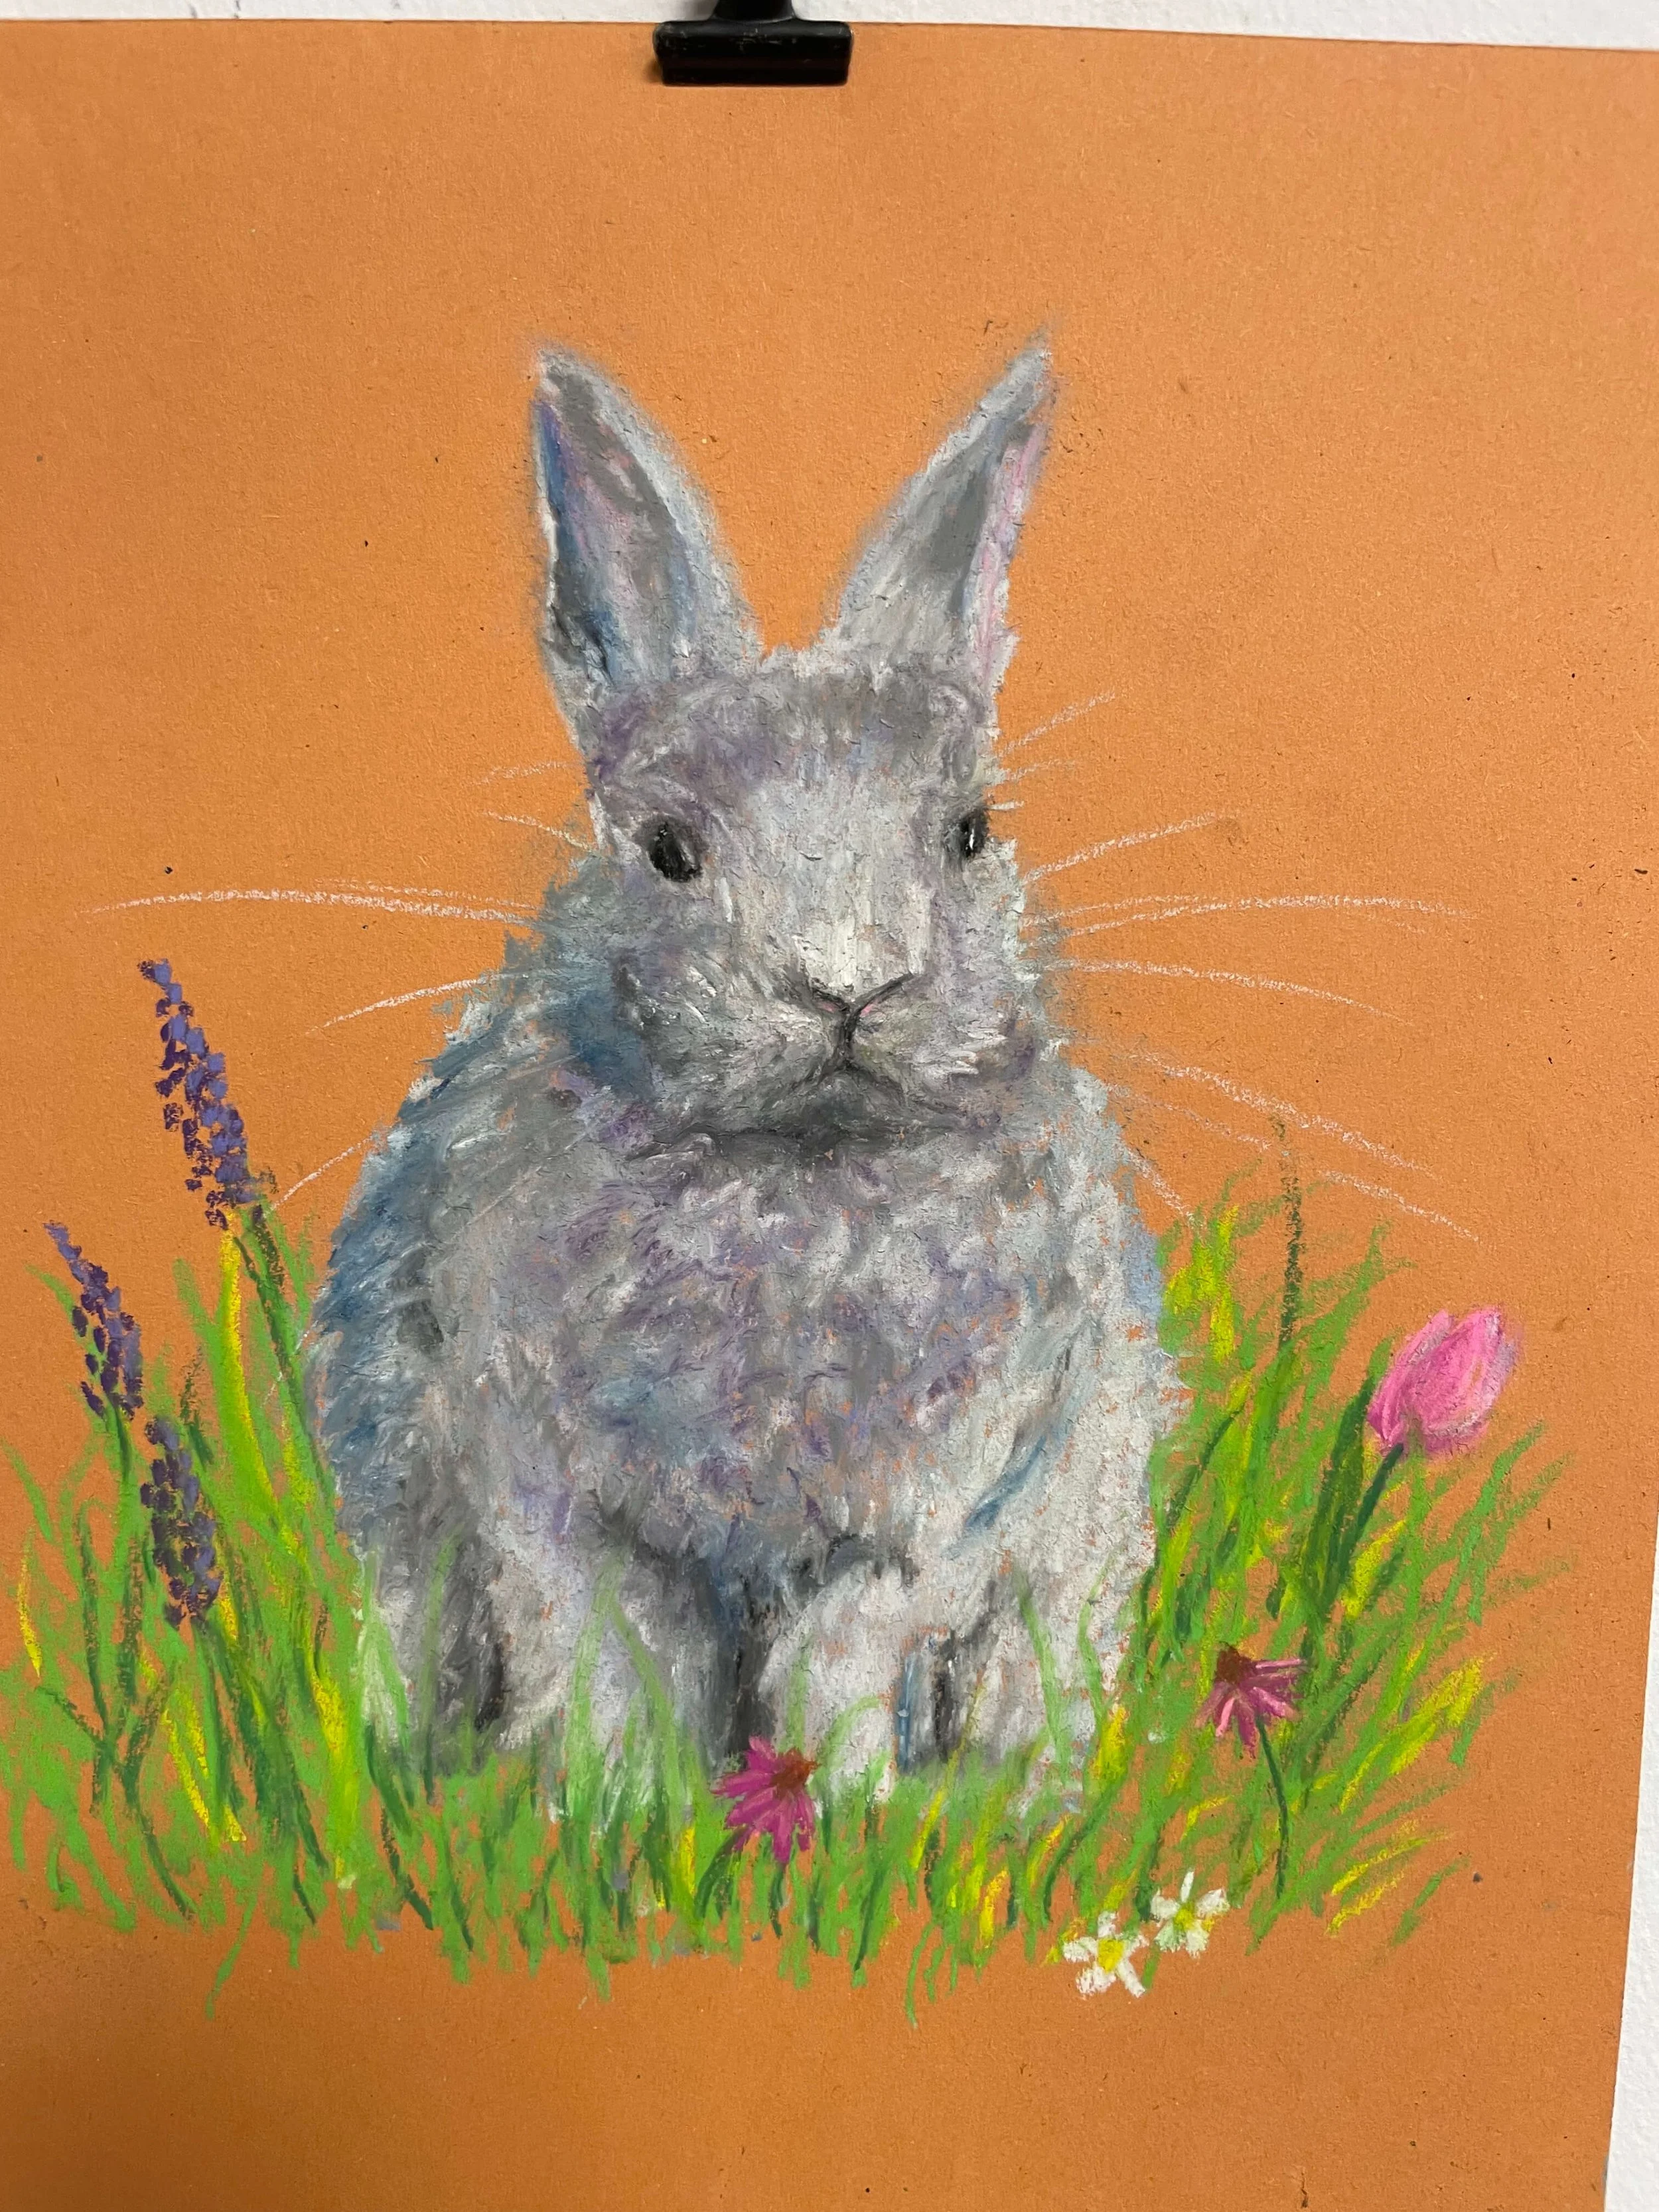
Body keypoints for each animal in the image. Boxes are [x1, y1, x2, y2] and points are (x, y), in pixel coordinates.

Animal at [309, 339, 1177, 1784]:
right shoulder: (555, 1499)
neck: (800, 1168)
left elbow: (840, 1663)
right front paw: (621, 1808)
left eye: (970, 832)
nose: (849, 981)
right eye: (667, 850)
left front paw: (837, 1808)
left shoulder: (926, 1517)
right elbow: (614, 1666)